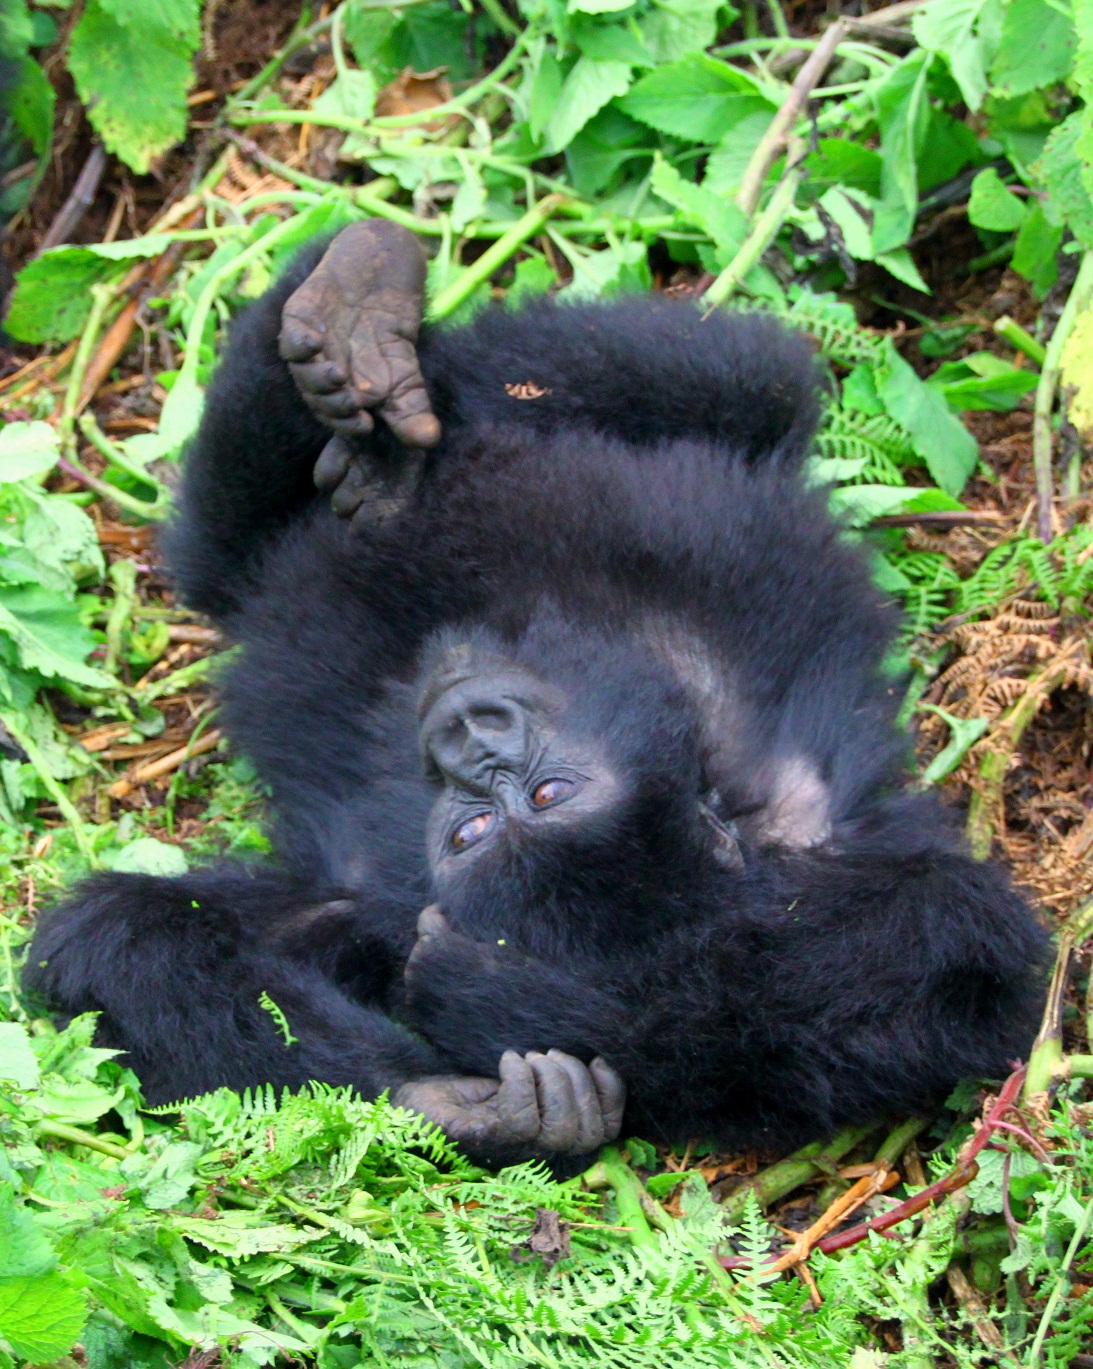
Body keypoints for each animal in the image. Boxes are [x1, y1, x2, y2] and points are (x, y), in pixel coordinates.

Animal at [29, 221, 1046, 1166]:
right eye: (477, 816)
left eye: (538, 797)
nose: (467, 738)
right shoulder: (358, 904)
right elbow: (119, 948)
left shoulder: (834, 849)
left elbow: (950, 969)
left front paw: (493, 1032)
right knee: (711, 381)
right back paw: (359, 324)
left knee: (733, 381)